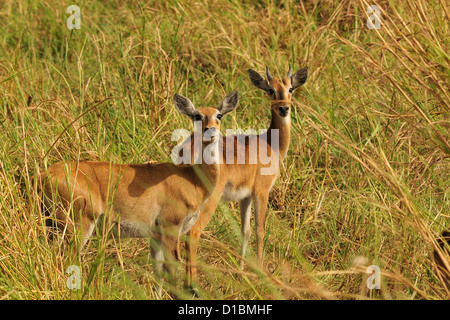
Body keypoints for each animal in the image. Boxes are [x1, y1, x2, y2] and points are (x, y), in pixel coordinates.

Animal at [40, 90, 241, 296]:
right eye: (197, 115)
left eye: (219, 115)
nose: (211, 131)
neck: (192, 178)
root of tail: (43, 175)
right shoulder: (171, 227)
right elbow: (172, 269)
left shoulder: (156, 235)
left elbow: (158, 272)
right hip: (78, 225)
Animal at [180, 64, 310, 290]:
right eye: (270, 90)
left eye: (291, 88)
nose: (284, 108)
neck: (271, 145)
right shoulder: (262, 191)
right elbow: (260, 230)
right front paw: (260, 273)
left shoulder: (245, 197)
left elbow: (245, 231)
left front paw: (240, 273)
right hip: (211, 198)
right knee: (193, 231)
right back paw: (193, 285)